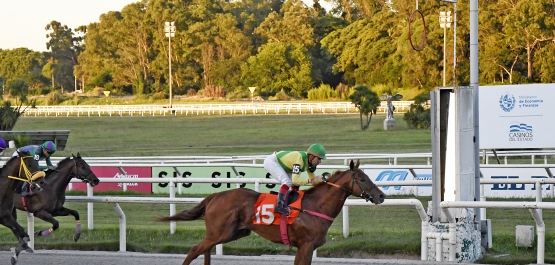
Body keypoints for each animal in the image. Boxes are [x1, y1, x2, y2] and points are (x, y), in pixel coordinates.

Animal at [159, 159, 386, 264]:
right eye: (362, 178)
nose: (382, 196)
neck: (315, 206)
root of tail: (216, 195)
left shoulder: (305, 247)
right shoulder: (306, 245)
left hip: (230, 233)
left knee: (204, 250)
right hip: (219, 233)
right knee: (194, 250)